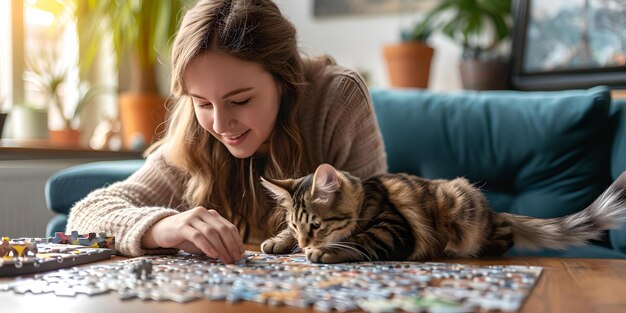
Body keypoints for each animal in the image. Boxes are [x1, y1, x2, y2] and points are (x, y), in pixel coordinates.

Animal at [258, 163, 624, 264]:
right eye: (296, 224)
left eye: (317, 226)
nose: (305, 244)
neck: (366, 197)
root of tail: (494, 211)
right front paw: (278, 242)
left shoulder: (393, 228)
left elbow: (359, 241)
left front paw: (324, 251)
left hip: (461, 207)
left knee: (504, 233)